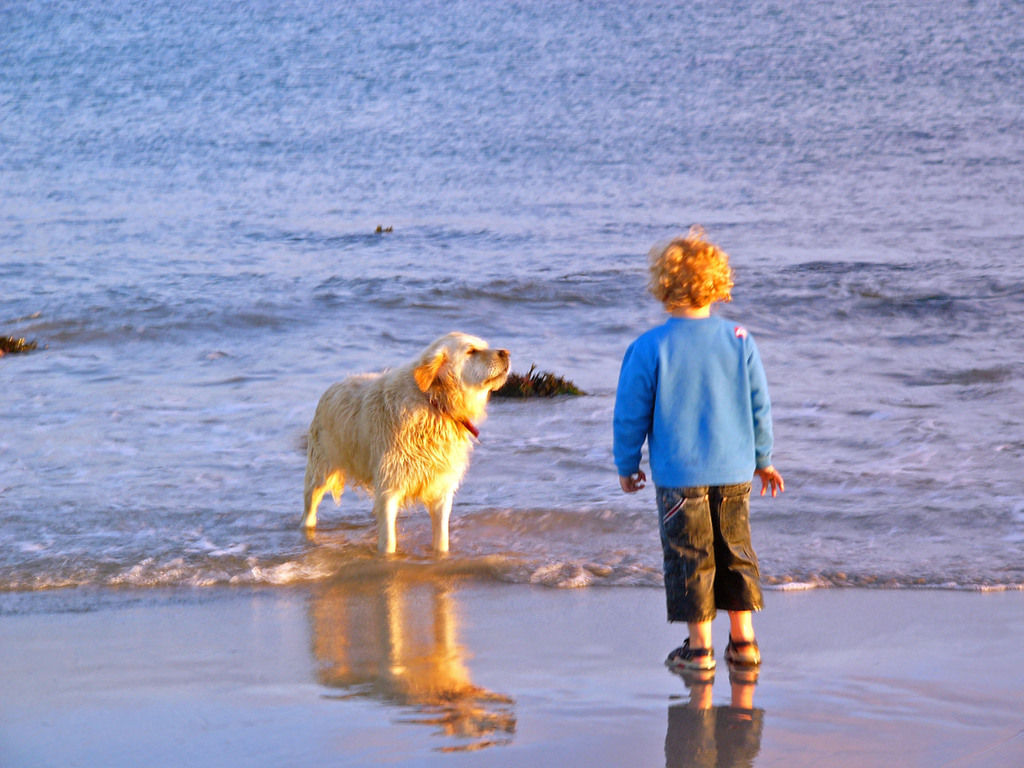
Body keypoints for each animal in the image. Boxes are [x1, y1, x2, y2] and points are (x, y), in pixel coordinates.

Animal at [303, 331, 512, 552]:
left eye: (484, 346)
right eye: (471, 351)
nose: (506, 353)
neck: (434, 403)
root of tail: (333, 386)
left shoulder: (441, 489)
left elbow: (441, 538)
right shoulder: (389, 487)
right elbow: (388, 541)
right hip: (321, 469)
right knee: (310, 504)